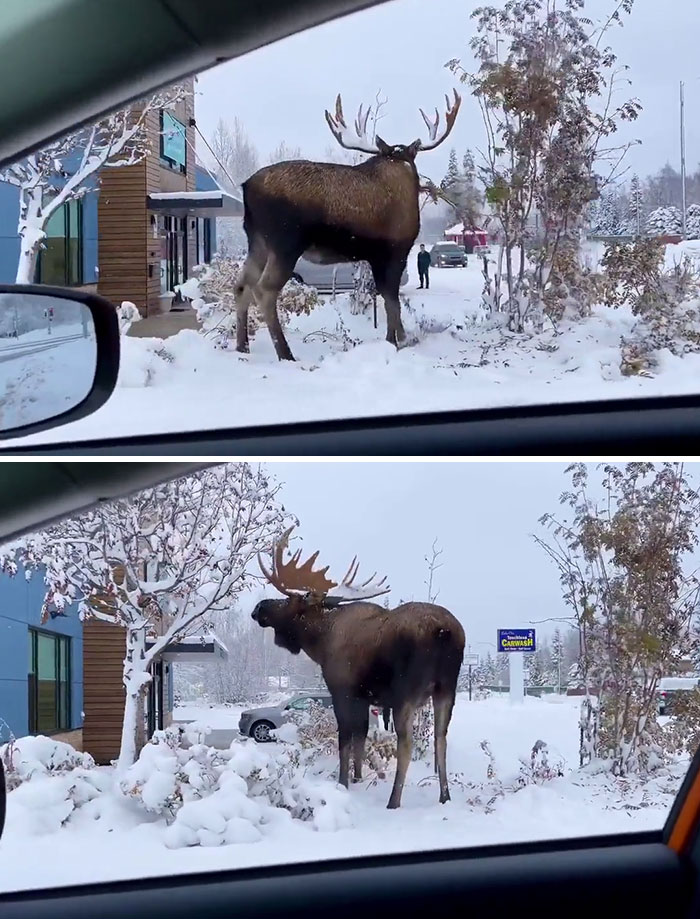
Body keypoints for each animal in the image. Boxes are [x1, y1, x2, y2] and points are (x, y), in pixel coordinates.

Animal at [235, 91, 462, 361]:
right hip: (285, 242)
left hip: (257, 241)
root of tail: (247, 188)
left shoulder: (376, 255)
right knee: (264, 290)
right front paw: (399, 340)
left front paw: (396, 338)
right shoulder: (396, 249)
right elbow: (392, 299)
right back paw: (285, 354)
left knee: (241, 285)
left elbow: (387, 298)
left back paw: (242, 346)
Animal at [251, 527, 465, 809]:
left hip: (406, 693)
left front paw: (343, 783)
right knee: (441, 739)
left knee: (407, 744)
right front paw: (358, 778)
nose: (258, 607)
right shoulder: (365, 698)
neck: (319, 643)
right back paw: (445, 797)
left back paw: (393, 801)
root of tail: (444, 632)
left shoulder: (342, 690)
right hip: (446, 689)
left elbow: (345, 738)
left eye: (289, 600)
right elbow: (361, 739)